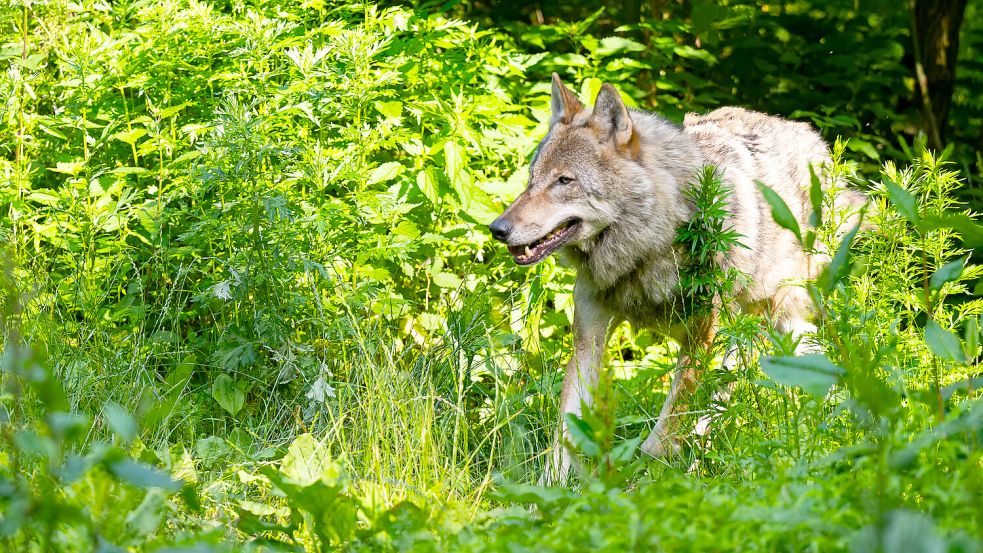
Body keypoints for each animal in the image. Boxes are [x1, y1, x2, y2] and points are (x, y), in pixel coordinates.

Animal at [490, 74, 860, 484]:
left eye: (564, 181)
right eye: (531, 179)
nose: (497, 229)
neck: (646, 249)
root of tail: (813, 138)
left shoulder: (701, 339)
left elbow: (660, 438)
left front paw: (645, 485)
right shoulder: (589, 340)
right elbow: (562, 440)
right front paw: (543, 495)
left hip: (785, 322)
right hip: (751, 336)